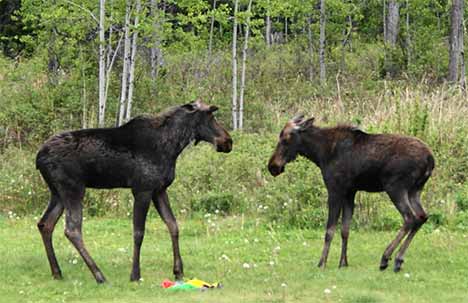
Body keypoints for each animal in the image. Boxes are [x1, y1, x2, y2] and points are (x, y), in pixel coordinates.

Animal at [35, 101, 232, 284]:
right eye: (211, 116)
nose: (228, 141)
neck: (173, 146)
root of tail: (38, 158)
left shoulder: (159, 190)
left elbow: (173, 226)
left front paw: (178, 271)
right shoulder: (142, 190)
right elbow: (139, 233)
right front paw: (135, 274)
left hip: (57, 193)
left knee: (45, 224)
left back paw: (57, 272)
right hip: (73, 188)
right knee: (72, 230)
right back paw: (99, 275)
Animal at [268, 116, 436, 274]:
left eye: (285, 139)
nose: (272, 166)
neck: (319, 154)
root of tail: (430, 160)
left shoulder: (335, 190)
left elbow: (329, 230)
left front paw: (322, 262)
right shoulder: (350, 192)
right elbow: (345, 229)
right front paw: (343, 262)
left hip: (396, 188)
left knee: (410, 218)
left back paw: (386, 258)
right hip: (414, 190)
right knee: (422, 217)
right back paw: (399, 259)